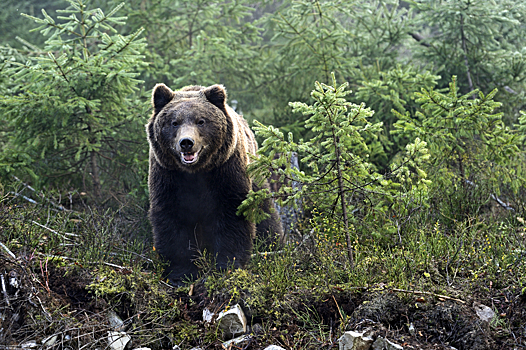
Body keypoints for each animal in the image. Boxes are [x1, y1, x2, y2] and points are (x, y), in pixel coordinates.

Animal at [146, 82, 282, 284]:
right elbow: (173, 220)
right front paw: (181, 273)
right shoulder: (168, 176)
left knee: (266, 214)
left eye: (201, 121)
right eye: (174, 122)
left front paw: (227, 265)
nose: (186, 142)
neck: (196, 171)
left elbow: (232, 215)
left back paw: (273, 245)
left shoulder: (226, 171)